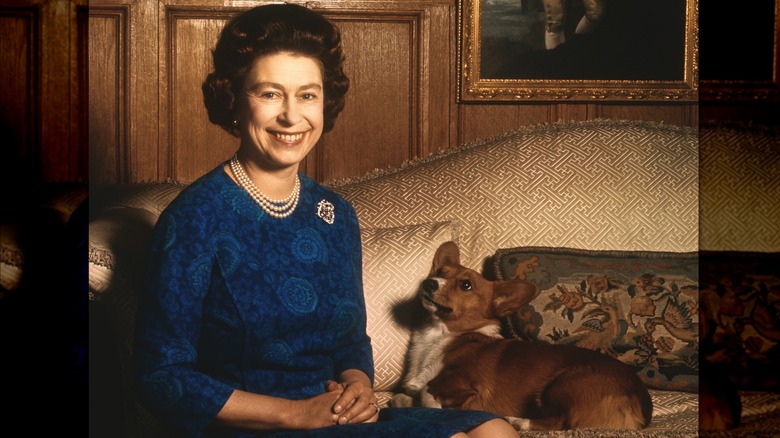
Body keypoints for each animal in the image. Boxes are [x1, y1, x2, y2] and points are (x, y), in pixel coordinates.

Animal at [390, 241, 652, 430]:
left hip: (561, 382)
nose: (429, 283)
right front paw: (407, 399)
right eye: (440, 272)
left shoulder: (468, 384)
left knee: (562, 422)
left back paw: (517, 421)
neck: (439, 336)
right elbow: (409, 395)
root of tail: (641, 405)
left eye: (466, 285)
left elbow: (428, 391)